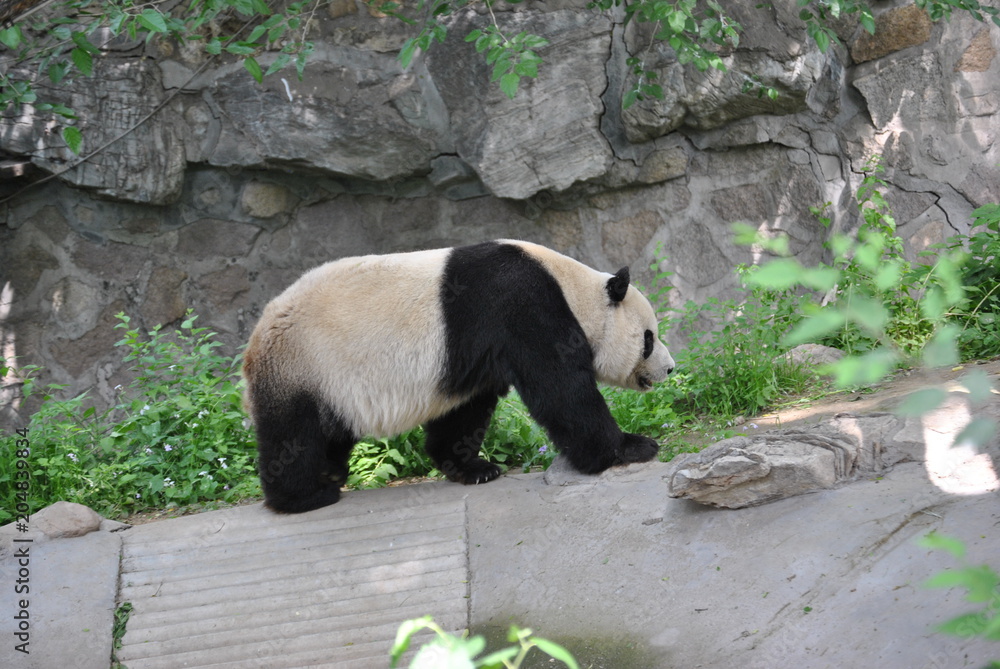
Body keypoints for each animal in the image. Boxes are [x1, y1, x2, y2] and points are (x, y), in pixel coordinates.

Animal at [242, 240, 675, 513]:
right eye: (649, 338)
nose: (670, 368)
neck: (570, 287)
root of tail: (257, 333)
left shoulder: (473, 353)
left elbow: (466, 410)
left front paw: (474, 469)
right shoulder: (522, 304)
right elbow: (561, 389)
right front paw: (630, 447)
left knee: (330, 429)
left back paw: (330, 472)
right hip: (305, 362)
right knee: (293, 435)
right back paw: (306, 495)